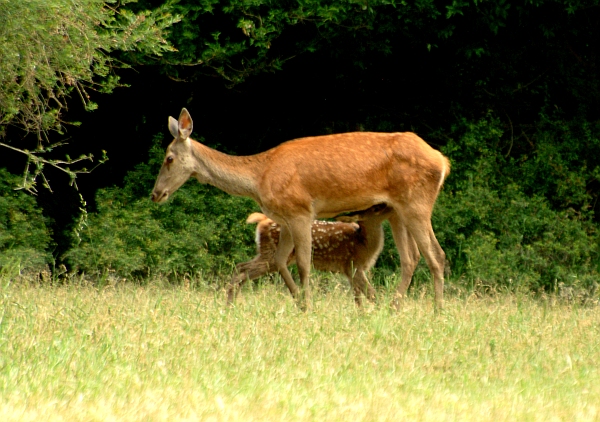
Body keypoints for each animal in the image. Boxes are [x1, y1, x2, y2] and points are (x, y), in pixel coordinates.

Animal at [226, 203, 394, 304]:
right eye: (376, 208)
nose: (389, 205)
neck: (362, 243)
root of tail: (262, 220)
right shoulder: (353, 265)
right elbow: (371, 294)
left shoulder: (349, 271)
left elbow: (358, 298)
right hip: (271, 255)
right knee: (243, 271)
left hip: (265, 253)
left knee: (241, 267)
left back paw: (230, 305)